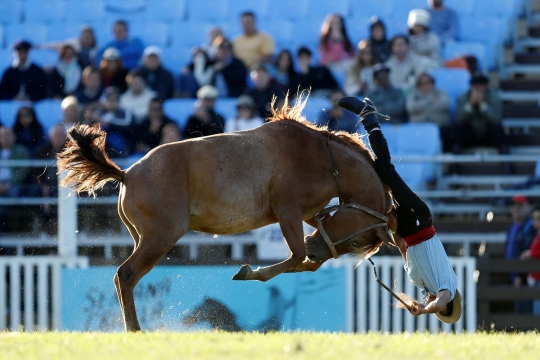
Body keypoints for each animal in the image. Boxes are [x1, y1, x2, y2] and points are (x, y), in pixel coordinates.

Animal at [57, 93, 394, 332]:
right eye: (355, 241)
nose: (317, 248)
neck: (322, 157)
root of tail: (127, 173)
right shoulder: (287, 211)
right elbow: (297, 256)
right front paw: (250, 271)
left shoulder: (310, 214)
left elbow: (306, 262)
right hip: (159, 238)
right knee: (125, 276)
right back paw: (135, 330)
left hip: (145, 238)